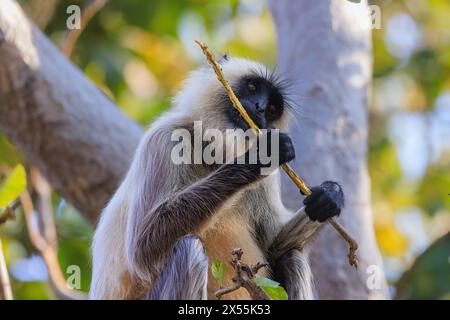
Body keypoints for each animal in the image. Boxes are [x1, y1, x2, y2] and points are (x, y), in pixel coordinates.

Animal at [89, 57, 344, 300]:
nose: (260, 108)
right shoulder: (164, 138)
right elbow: (142, 249)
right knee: (188, 249)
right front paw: (259, 156)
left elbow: (274, 247)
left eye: (272, 107)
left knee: (292, 257)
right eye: (252, 87)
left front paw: (329, 196)